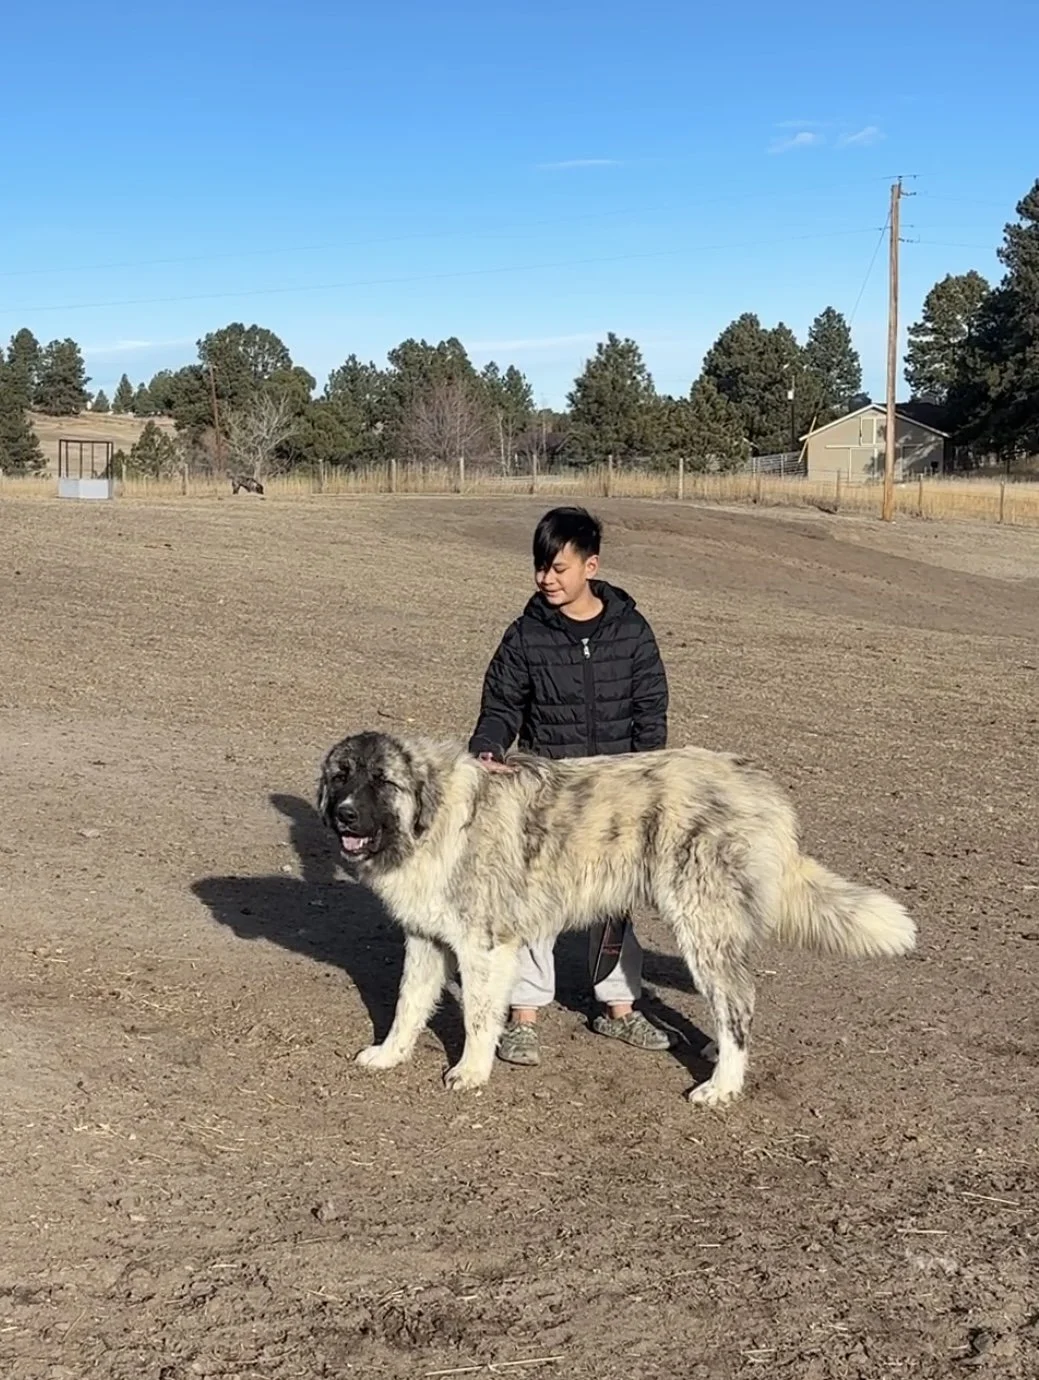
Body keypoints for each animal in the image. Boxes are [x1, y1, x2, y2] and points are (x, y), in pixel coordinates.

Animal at [317, 731, 916, 1106]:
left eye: (382, 782)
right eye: (341, 777)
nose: (343, 815)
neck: (435, 818)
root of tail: (762, 787)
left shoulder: (485, 946)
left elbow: (479, 1018)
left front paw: (471, 1071)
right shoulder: (426, 940)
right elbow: (407, 1007)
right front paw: (389, 1055)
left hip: (700, 921)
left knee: (738, 1001)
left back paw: (722, 1086)